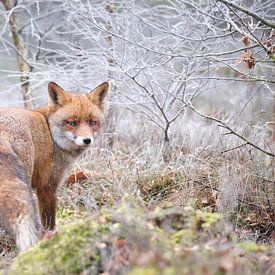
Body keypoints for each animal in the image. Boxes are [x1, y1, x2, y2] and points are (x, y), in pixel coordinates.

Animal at [0, 81, 109, 251]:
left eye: (93, 122)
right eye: (72, 123)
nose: (87, 140)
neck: (52, 136)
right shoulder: (47, 187)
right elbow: (49, 222)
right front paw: (49, 239)